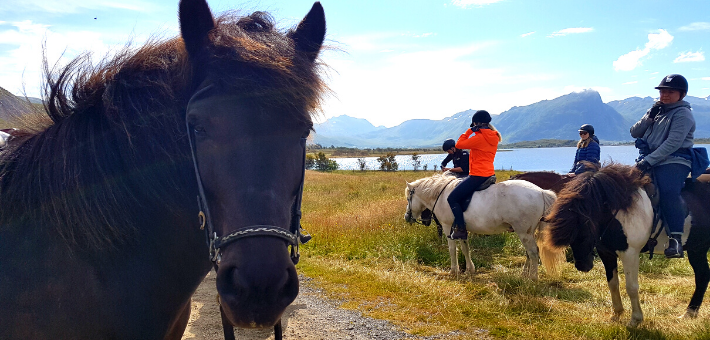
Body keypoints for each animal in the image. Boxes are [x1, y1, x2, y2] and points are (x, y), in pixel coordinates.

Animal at [408, 174, 560, 280]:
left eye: (408, 198)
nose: (407, 217)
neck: (442, 195)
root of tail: (540, 192)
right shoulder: (461, 229)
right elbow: (465, 248)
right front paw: (469, 269)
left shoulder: (447, 227)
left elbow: (452, 249)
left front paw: (453, 271)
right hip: (527, 233)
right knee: (529, 253)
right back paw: (524, 275)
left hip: (524, 233)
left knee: (533, 252)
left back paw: (532, 278)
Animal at [544, 164, 710, 326]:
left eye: (584, 232)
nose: (583, 266)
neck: (617, 211)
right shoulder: (606, 253)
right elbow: (612, 283)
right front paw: (616, 314)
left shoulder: (630, 253)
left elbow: (631, 287)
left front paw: (635, 320)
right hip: (698, 249)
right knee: (702, 276)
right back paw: (689, 313)